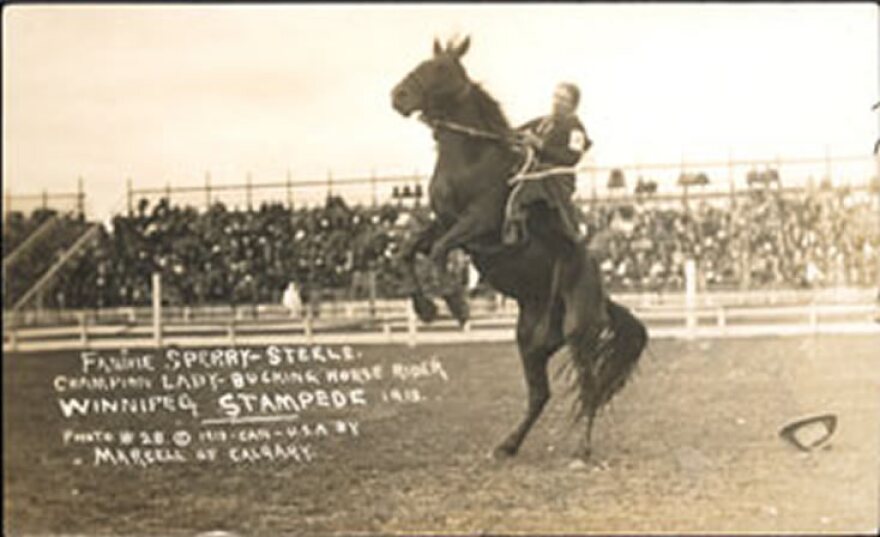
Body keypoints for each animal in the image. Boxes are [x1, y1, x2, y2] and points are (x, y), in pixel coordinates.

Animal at [392, 36, 648, 460]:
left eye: (441, 68)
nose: (398, 96)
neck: (471, 158)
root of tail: (603, 297)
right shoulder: (443, 222)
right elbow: (409, 250)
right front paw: (424, 306)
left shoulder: (477, 226)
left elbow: (440, 252)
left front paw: (455, 303)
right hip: (530, 341)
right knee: (539, 395)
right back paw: (508, 445)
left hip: (580, 333)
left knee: (590, 386)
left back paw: (582, 450)